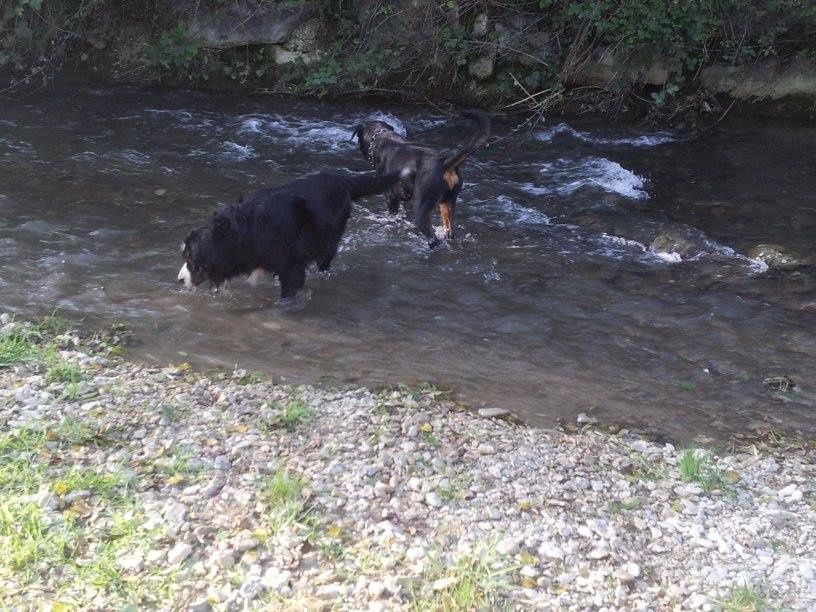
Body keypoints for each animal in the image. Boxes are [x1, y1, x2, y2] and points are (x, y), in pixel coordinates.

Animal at [178, 170, 408, 302]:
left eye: (191, 259)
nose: (179, 280)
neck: (243, 232)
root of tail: (340, 179)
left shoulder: (292, 266)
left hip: (328, 241)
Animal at [350, 110, 490, 246]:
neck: (380, 138)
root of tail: (444, 163)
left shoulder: (391, 198)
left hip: (420, 208)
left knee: (433, 238)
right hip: (447, 203)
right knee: (449, 231)